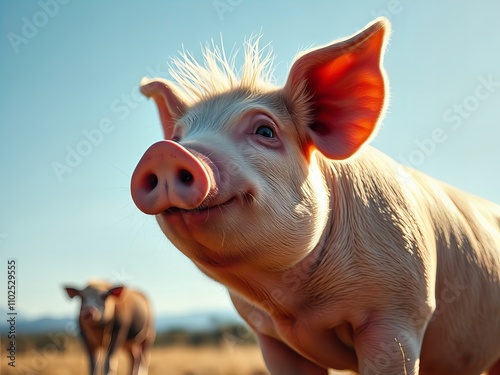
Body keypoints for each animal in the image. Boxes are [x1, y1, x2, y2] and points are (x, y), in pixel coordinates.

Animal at [130, 18, 500, 375]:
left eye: (265, 131)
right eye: (178, 136)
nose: (164, 151)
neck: (297, 307)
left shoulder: (399, 313)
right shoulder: (269, 337)